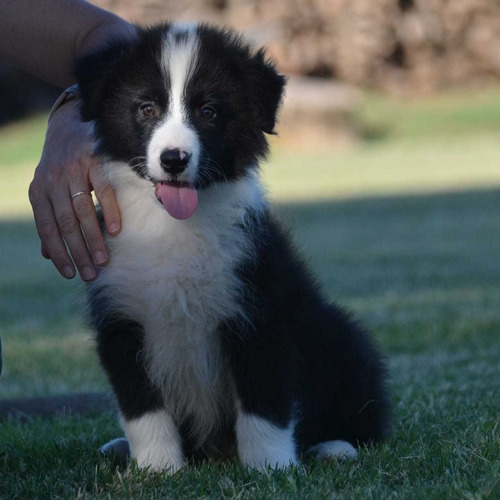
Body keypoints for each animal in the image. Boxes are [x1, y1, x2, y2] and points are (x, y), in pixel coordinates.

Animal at [77, 22, 390, 472]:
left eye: (208, 112)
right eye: (146, 109)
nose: (174, 159)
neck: (172, 227)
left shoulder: (260, 308)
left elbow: (263, 402)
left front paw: (271, 468)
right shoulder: (121, 317)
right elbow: (142, 410)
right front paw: (157, 470)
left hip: (341, 338)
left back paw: (335, 447)